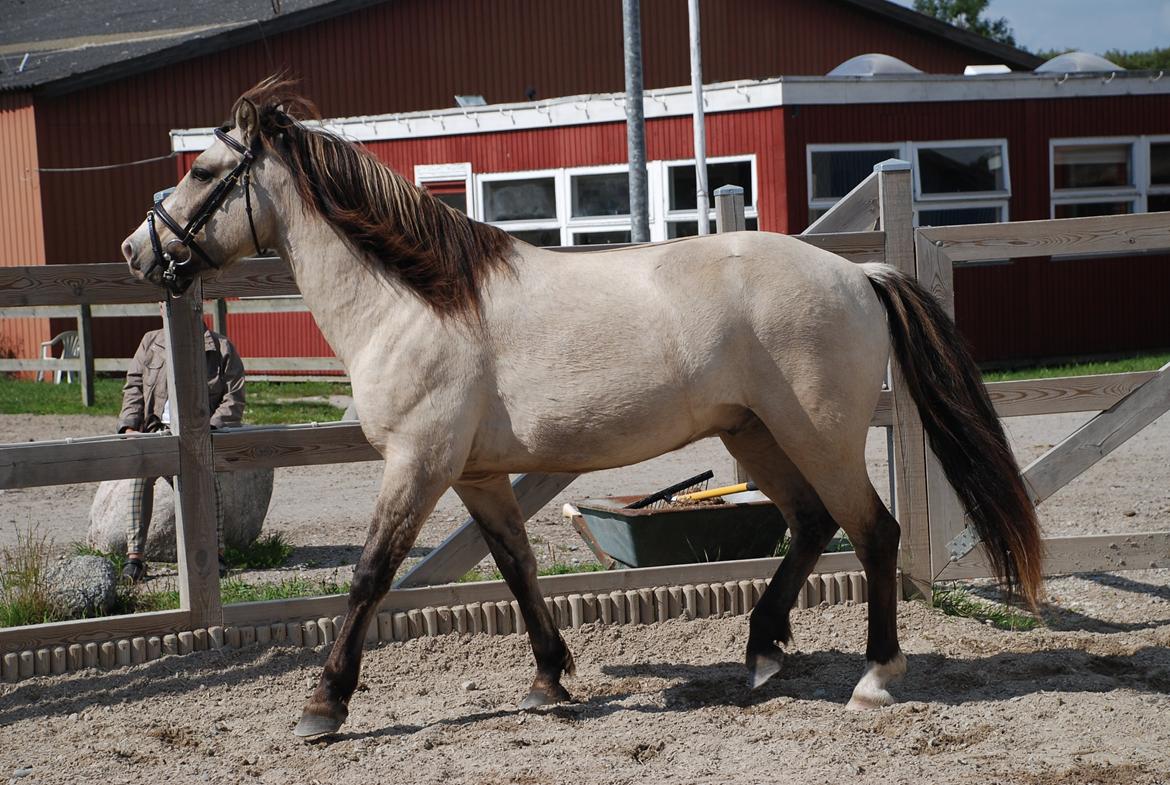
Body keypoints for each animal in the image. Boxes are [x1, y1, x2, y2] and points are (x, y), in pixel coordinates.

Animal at [121, 79, 1043, 739]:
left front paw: (323, 705)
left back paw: (874, 679)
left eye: (202, 172)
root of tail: (860, 273)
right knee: (813, 524)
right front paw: (547, 680)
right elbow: (518, 568)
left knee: (872, 531)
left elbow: (370, 575)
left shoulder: (417, 463)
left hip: (819, 434)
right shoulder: (476, 475)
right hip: (756, 434)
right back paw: (761, 652)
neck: (418, 303)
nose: (138, 250)